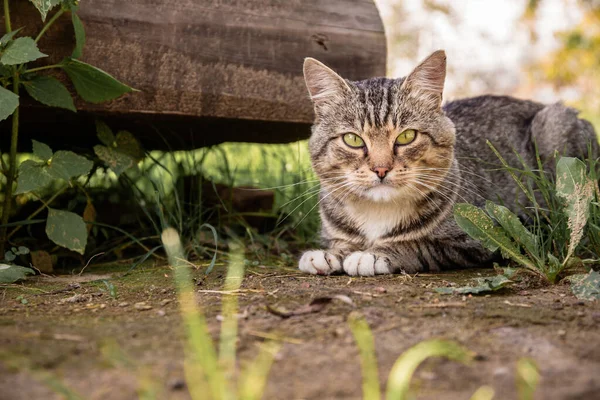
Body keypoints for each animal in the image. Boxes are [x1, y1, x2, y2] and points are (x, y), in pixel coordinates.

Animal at [298, 49, 596, 276]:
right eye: (353, 139)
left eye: (406, 136)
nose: (381, 169)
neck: (377, 212)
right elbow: (341, 243)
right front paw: (330, 254)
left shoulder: (479, 239)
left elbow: (420, 246)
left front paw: (372, 255)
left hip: (554, 128)